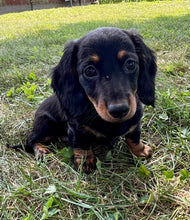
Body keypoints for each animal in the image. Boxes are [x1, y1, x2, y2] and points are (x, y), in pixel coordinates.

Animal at [12, 27, 157, 174]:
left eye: (130, 64)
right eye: (90, 71)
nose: (120, 110)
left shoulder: (135, 119)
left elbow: (134, 136)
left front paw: (140, 151)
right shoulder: (76, 127)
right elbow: (81, 143)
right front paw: (85, 161)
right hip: (46, 126)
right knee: (30, 140)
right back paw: (41, 151)